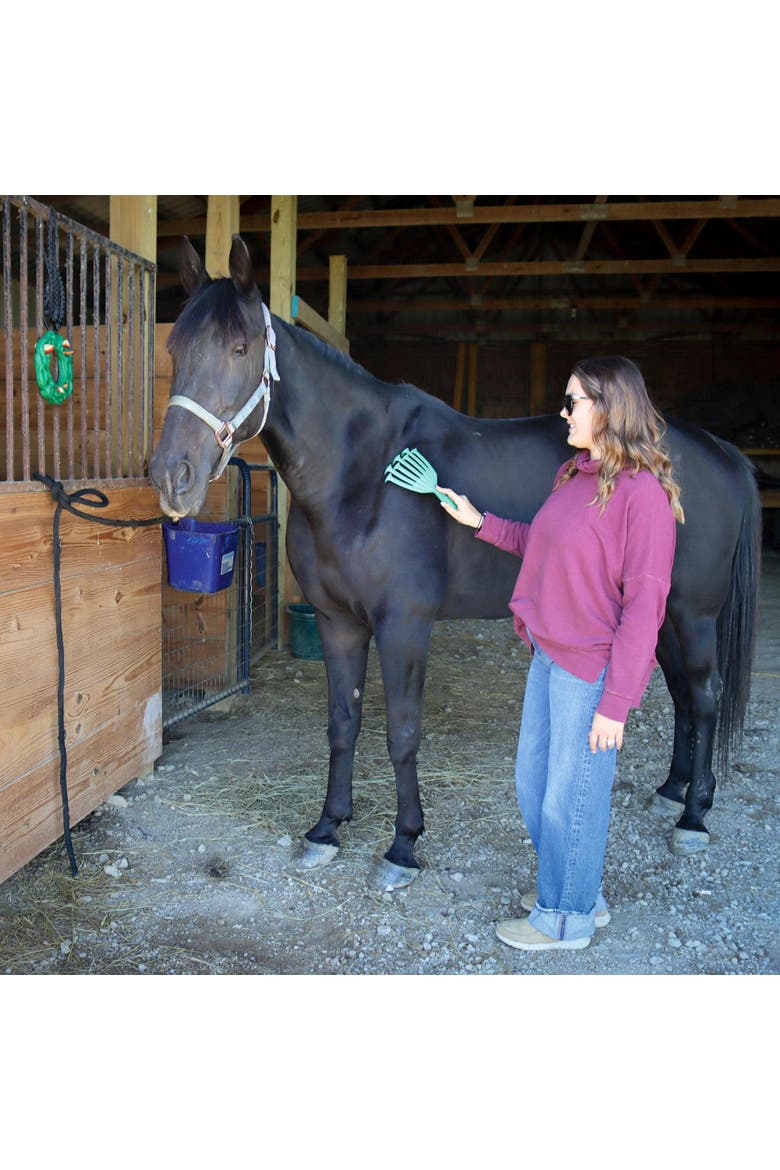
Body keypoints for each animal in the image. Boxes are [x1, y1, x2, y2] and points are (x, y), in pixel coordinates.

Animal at [149, 235, 762, 891]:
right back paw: (672, 792)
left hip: (694, 614)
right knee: (681, 696)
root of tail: (718, 450)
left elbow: (401, 732)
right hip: (660, 616)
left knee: (703, 696)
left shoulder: (404, 625)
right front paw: (327, 828)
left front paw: (403, 845)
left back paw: (694, 816)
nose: (172, 477)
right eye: (175, 348)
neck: (363, 472)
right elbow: (343, 724)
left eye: (239, 349)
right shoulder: (340, 623)